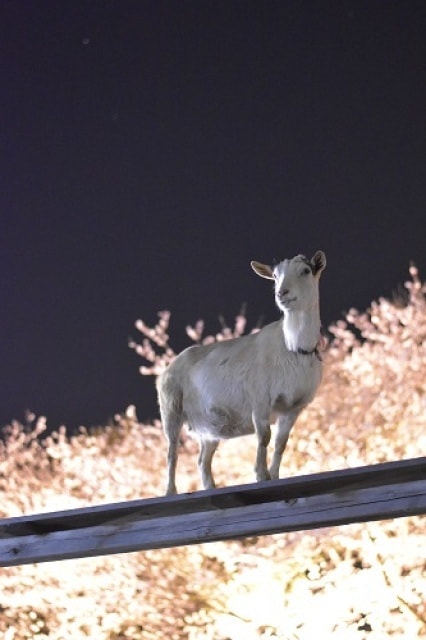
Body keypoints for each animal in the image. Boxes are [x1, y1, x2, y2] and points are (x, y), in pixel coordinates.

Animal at [156, 250, 326, 496]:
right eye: (275, 276)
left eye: (305, 271)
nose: (281, 293)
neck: (293, 347)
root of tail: (167, 369)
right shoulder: (260, 398)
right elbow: (264, 437)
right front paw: (261, 475)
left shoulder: (294, 407)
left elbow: (281, 443)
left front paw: (274, 476)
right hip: (171, 409)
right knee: (171, 452)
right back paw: (170, 491)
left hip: (209, 429)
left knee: (202, 460)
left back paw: (210, 487)